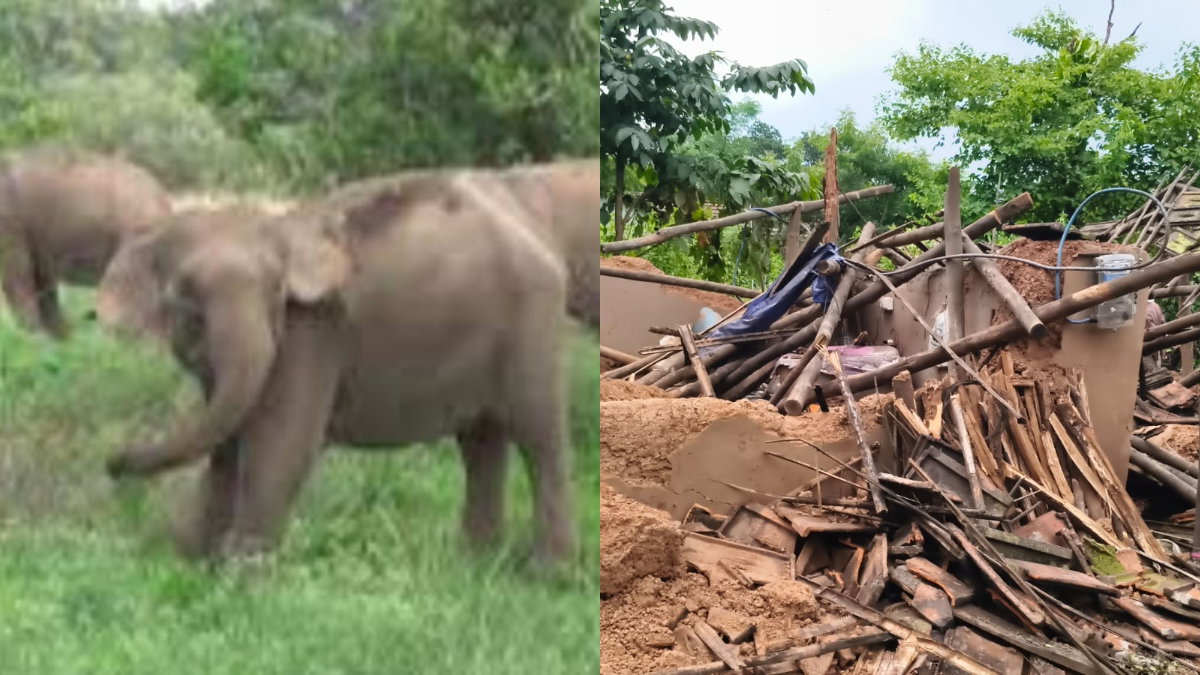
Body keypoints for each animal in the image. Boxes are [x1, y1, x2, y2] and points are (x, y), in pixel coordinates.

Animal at [96, 169, 577, 566]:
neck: (280, 226)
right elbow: (228, 441)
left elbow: (281, 445)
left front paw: (241, 579)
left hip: (533, 322)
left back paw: (548, 575)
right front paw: (196, 563)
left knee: (539, 438)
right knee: (480, 442)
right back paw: (474, 566)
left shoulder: (313, 332)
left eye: (276, 291)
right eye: (185, 299)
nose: (113, 461)